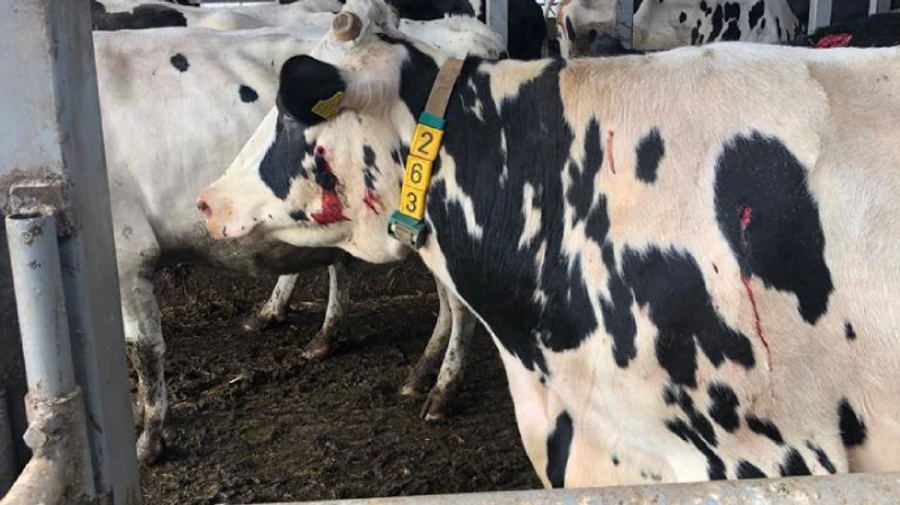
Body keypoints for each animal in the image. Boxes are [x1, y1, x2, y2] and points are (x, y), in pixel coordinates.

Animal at [94, 17, 501, 463]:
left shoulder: (127, 254)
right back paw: (416, 369)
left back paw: (442, 389)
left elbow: (143, 351)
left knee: (460, 308)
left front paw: (149, 439)